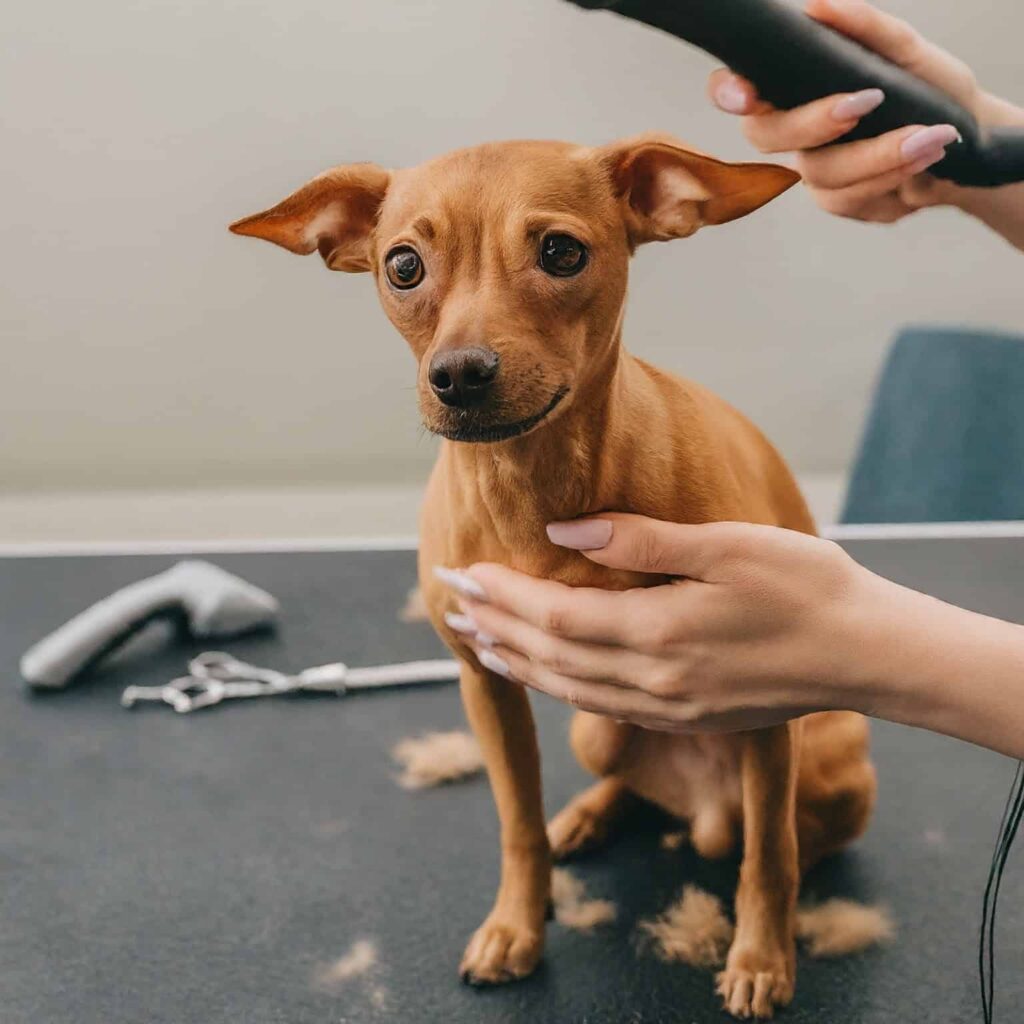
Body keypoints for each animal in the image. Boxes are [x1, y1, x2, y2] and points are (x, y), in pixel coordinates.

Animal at [234, 134, 880, 1015]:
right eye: (403, 266)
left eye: (561, 253)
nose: (459, 373)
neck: (531, 489)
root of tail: (704, 808)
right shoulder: (485, 685)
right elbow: (516, 822)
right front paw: (517, 924)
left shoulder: (762, 709)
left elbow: (769, 858)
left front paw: (760, 958)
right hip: (597, 728)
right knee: (632, 785)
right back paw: (585, 816)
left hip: (821, 761)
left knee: (773, 837)